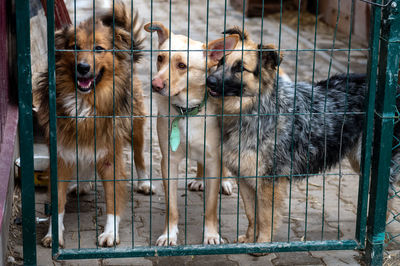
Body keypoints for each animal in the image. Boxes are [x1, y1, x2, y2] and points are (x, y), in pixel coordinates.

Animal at [33, 2, 150, 247]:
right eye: (74, 48)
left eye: (98, 48)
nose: (83, 68)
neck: (86, 102)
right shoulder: (61, 153)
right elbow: (57, 203)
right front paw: (53, 234)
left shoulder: (111, 157)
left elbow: (113, 200)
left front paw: (110, 233)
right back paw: (83, 183)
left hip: (136, 125)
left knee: (139, 155)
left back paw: (144, 182)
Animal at [143, 22, 233, 245]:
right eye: (160, 58)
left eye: (182, 66)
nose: (155, 85)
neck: (187, 111)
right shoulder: (169, 161)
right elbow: (172, 207)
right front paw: (169, 234)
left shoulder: (213, 159)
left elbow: (211, 207)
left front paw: (211, 234)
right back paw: (199, 180)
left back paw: (225, 182)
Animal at [205, 28, 398, 245]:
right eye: (221, 62)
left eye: (240, 68)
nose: (209, 81)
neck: (255, 109)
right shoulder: (245, 177)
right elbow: (251, 214)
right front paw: (248, 239)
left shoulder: (269, 181)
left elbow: (265, 217)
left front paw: (262, 243)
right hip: (358, 160)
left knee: (387, 198)